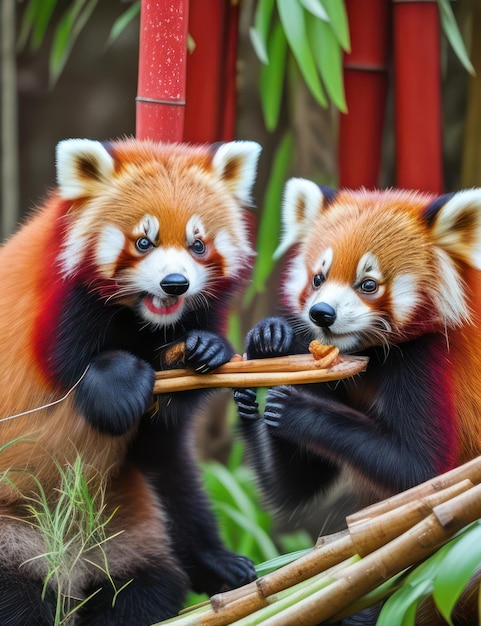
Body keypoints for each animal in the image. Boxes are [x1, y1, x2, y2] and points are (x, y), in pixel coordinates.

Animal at [0, 138, 260, 624]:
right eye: (143, 242)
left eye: (198, 245)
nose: (175, 284)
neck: (142, 323)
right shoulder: (56, 316)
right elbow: (83, 382)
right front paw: (119, 384)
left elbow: (162, 430)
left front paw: (205, 348)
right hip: (13, 534)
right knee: (18, 601)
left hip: (128, 535)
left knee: (148, 575)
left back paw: (214, 564)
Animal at [236, 176, 481, 512]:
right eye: (318, 279)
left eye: (368, 284)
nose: (321, 313)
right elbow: (294, 486)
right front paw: (271, 336)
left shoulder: (430, 356)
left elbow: (420, 472)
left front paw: (295, 408)